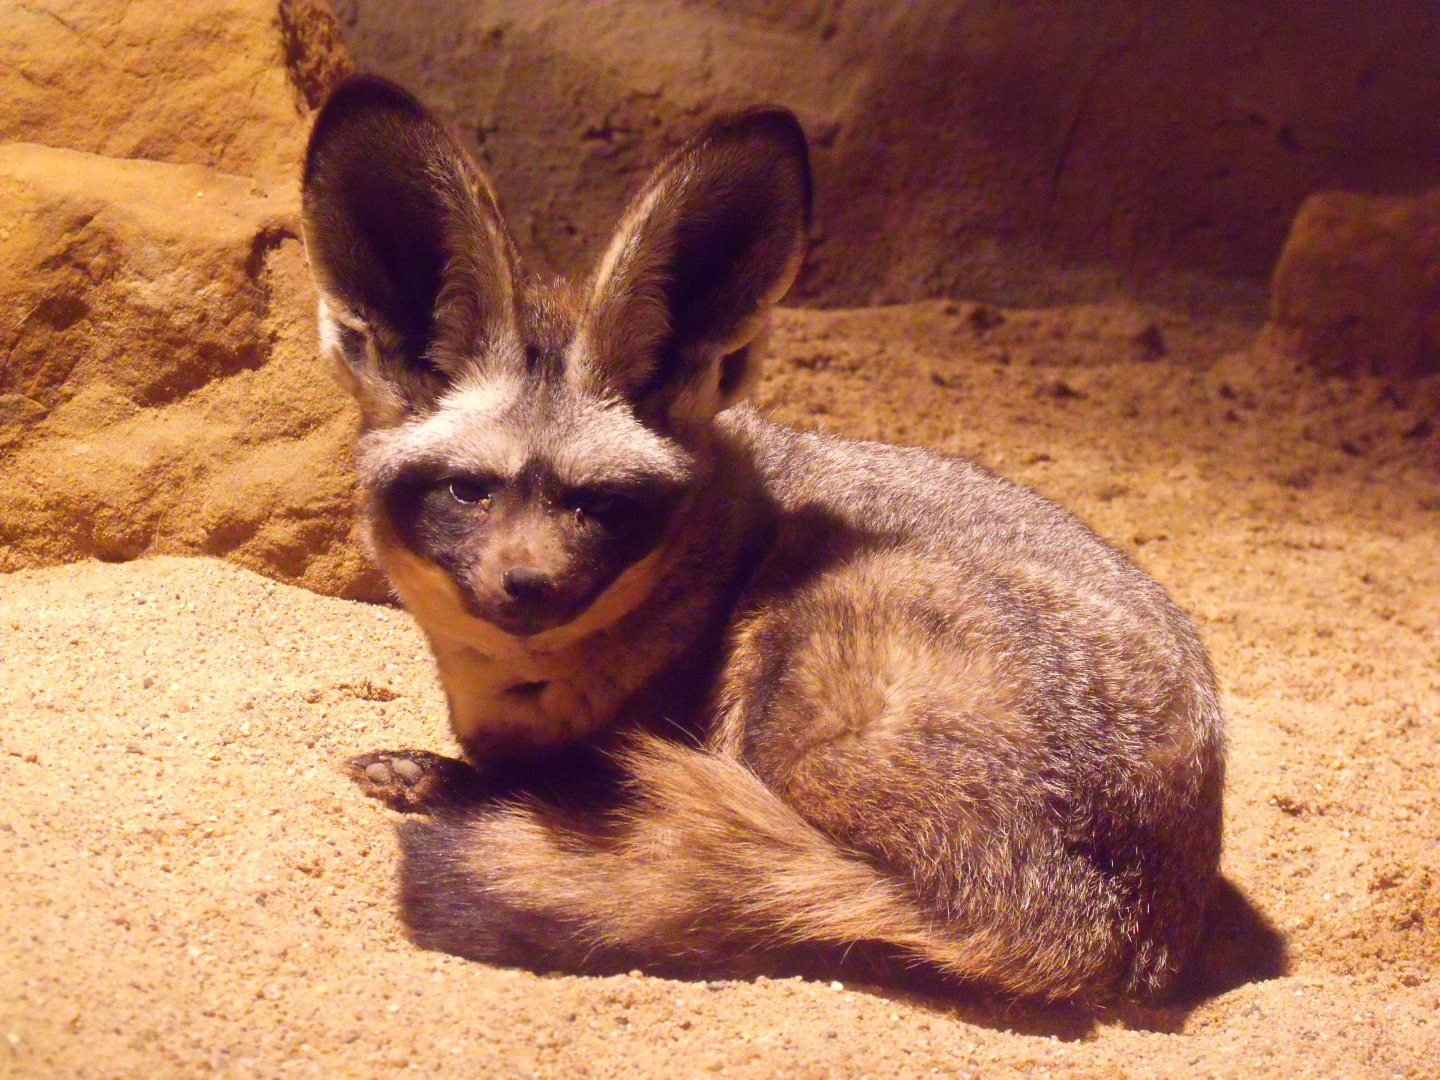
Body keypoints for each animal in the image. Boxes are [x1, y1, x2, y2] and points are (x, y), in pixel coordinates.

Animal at [300, 74, 1225, 1002]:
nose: (528, 585)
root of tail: (1095, 922)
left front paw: (454, 783)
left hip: (810, 637)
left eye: (600, 505)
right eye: (470, 490)